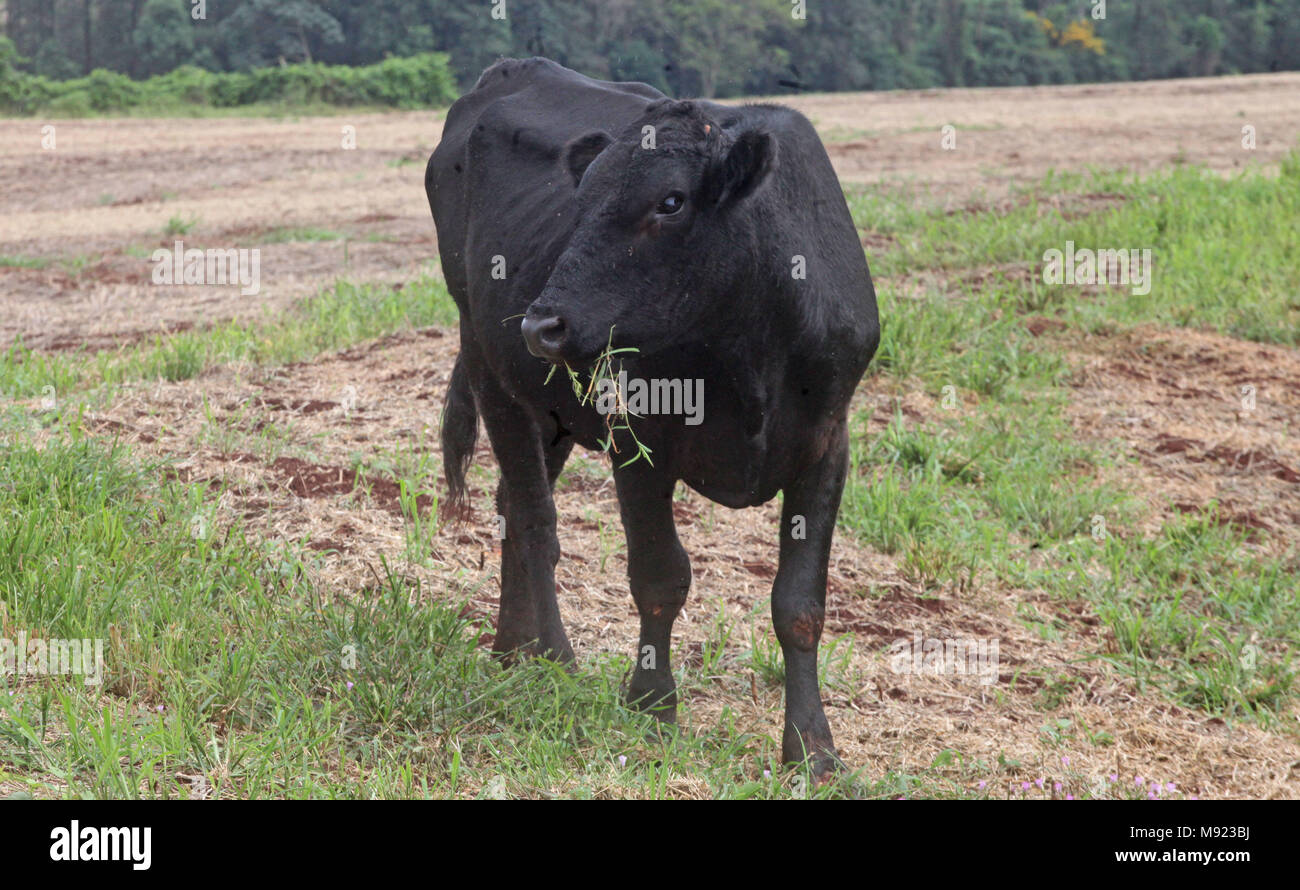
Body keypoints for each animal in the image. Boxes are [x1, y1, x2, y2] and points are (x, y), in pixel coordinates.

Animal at [431, 59, 878, 774]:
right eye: (580, 201)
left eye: (670, 202)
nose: (541, 324)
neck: (749, 350)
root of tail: (513, 69)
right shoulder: (637, 438)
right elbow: (660, 575)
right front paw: (651, 705)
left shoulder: (826, 446)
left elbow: (800, 604)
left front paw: (812, 746)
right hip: (486, 361)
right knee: (532, 518)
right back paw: (550, 655)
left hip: (549, 403)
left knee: (511, 501)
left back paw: (511, 647)